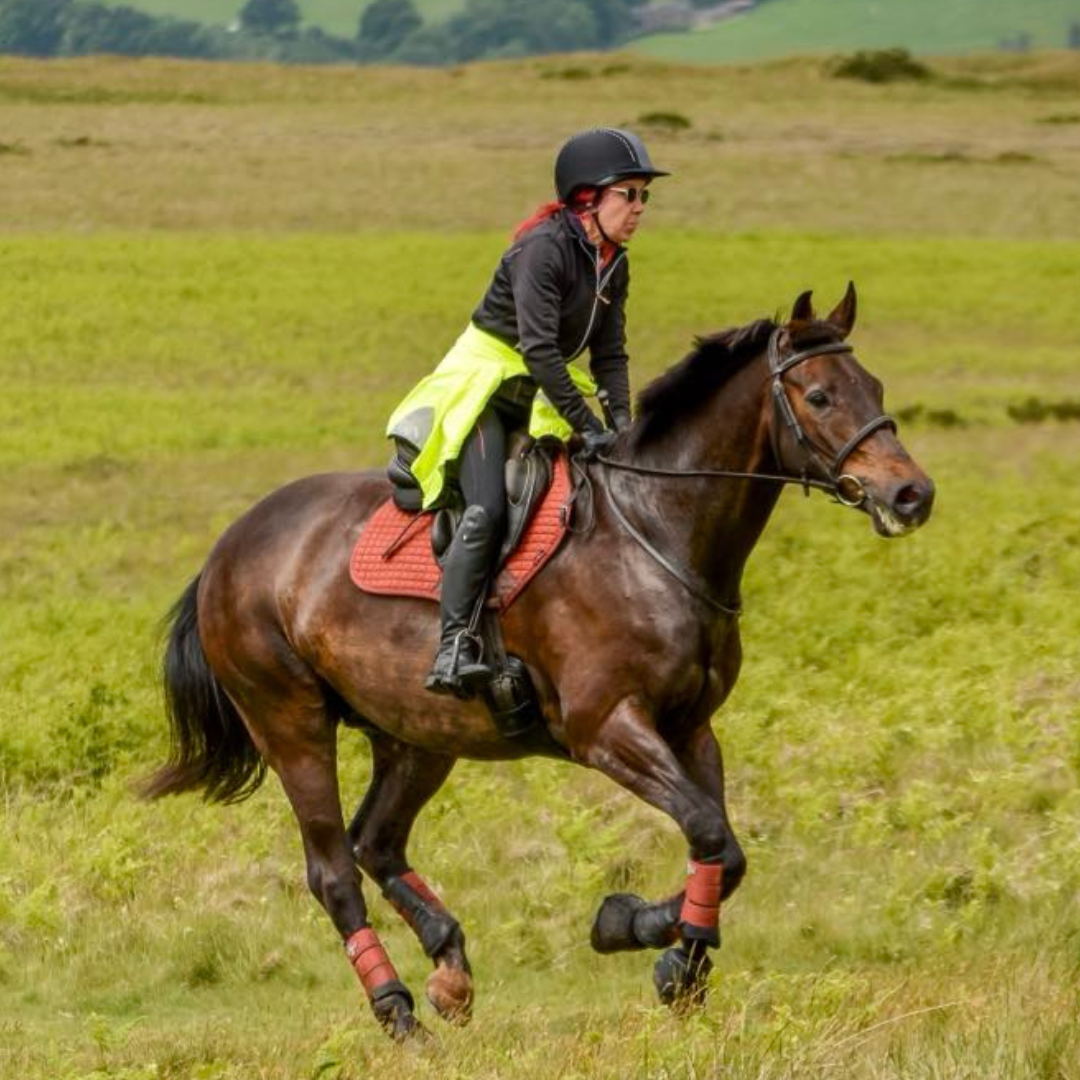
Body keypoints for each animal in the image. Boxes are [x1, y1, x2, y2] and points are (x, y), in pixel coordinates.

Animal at [144, 284, 934, 1041]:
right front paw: (646, 936)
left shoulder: (691, 729)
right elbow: (712, 836)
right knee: (334, 871)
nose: (912, 494)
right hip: (292, 723)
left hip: (415, 734)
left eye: (874, 385)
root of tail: (227, 548)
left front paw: (670, 954)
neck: (654, 529)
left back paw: (450, 970)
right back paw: (400, 1012)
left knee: (377, 841)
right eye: (821, 395)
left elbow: (723, 850)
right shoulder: (607, 729)